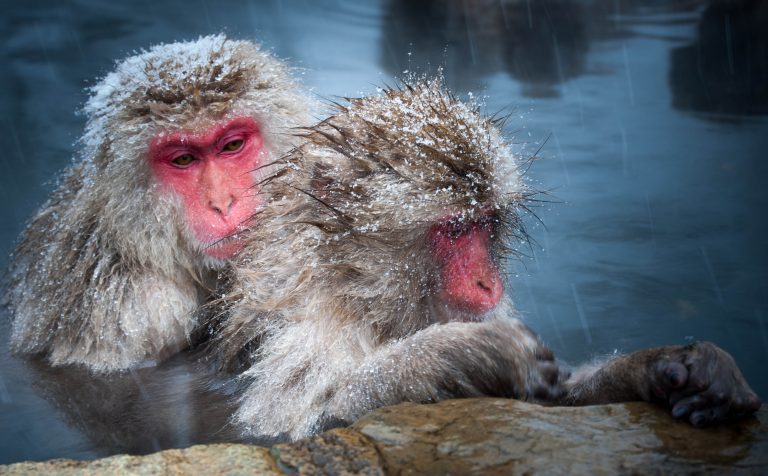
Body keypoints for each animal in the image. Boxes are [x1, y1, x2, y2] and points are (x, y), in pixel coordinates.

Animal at [207, 79, 761, 441]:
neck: (358, 296)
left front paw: (673, 365)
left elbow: (558, 393)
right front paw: (458, 355)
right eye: (454, 228)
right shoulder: (304, 335)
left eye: (487, 221)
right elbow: (291, 430)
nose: (488, 285)